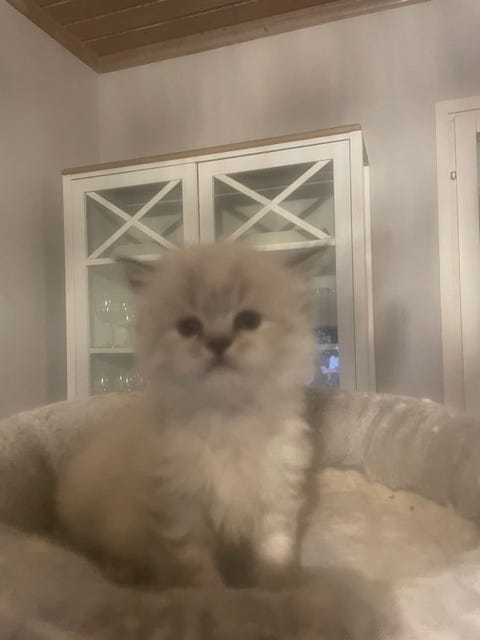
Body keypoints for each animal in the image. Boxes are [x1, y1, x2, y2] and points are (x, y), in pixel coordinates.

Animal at [56, 242, 315, 589]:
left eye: (248, 320)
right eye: (189, 327)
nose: (218, 343)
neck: (228, 419)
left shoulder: (276, 495)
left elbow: (275, 552)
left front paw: (276, 590)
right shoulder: (180, 510)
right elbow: (197, 573)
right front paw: (219, 597)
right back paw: (119, 571)